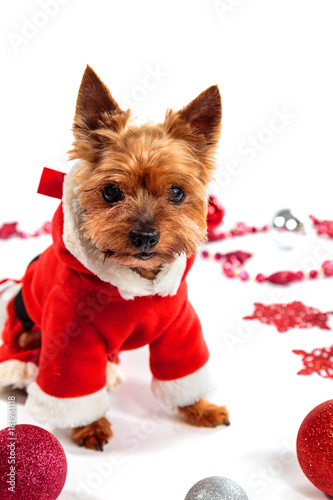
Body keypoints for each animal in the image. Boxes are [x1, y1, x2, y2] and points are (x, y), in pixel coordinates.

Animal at [0, 64, 228, 452]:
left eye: (177, 192)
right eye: (110, 191)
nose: (145, 236)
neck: (137, 283)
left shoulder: (180, 326)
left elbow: (183, 371)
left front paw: (199, 409)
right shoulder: (72, 335)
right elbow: (72, 388)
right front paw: (89, 427)